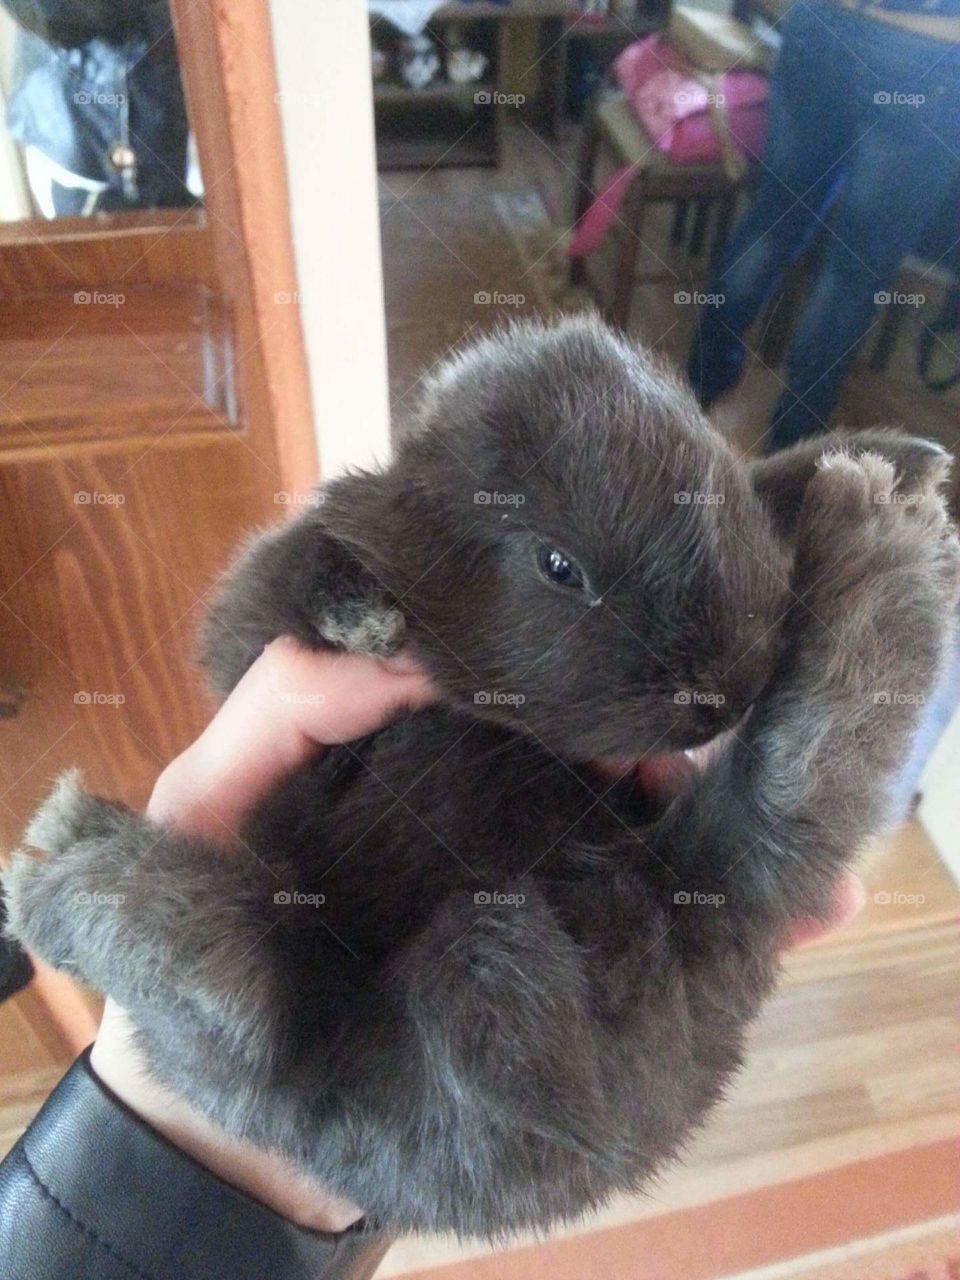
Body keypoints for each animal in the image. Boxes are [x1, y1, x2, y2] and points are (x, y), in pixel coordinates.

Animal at [4, 317, 957, 1241]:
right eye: (559, 566)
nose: (722, 695)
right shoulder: (251, 649)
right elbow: (283, 585)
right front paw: (362, 609)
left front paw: (861, 468)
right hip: (403, 997)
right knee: (260, 1019)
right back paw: (65, 858)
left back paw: (881, 505)